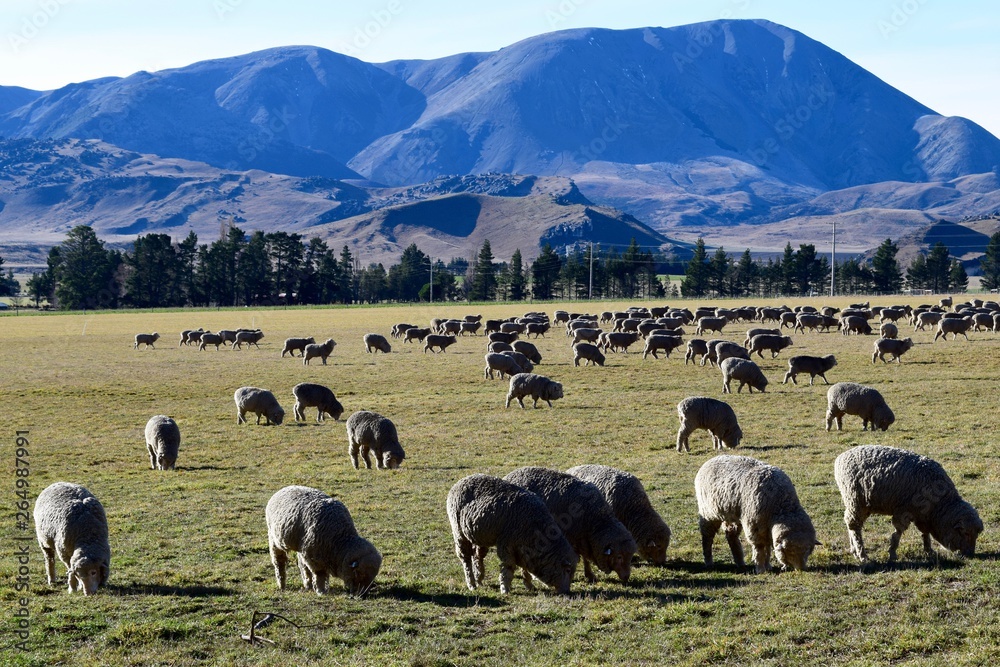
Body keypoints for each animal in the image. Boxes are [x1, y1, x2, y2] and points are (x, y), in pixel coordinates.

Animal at [447, 474, 578, 594]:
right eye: (567, 570)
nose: (567, 592)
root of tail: (461, 481)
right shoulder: (507, 544)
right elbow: (508, 566)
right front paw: (505, 588)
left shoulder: (524, 548)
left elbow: (525, 566)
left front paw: (529, 585)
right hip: (459, 533)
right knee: (465, 558)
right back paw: (472, 583)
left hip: (478, 534)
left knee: (477, 555)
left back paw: (479, 579)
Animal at [503, 467, 637, 583]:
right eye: (619, 557)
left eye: (630, 557)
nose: (626, 577)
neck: (595, 520)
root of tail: (509, 475)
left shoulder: (583, 540)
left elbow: (585, 558)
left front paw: (590, 575)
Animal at [834, 445, 982, 563]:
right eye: (965, 533)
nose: (970, 555)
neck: (940, 506)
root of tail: (840, 458)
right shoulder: (904, 510)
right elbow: (898, 533)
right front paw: (893, 553)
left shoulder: (922, 515)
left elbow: (925, 532)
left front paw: (929, 550)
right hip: (855, 500)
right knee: (854, 526)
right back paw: (862, 555)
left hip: (859, 504)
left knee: (851, 524)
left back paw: (854, 550)